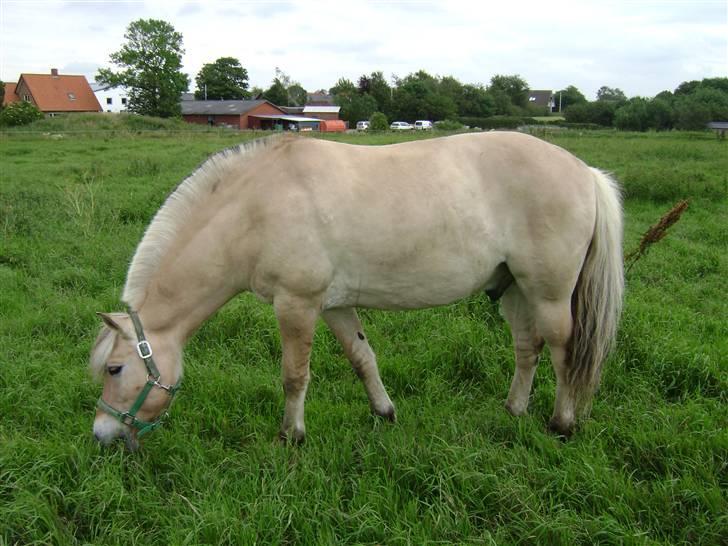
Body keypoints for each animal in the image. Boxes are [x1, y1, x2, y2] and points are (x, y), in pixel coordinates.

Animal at [91, 132, 624, 446]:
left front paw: (292, 436)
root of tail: (585, 172)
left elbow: (294, 376)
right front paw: (384, 412)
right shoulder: (334, 306)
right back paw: (513, 411)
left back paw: (561, 424)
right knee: (527, 348)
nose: (102, 434)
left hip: (548, 293)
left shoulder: (297, 305)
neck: (255, 209)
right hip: (512, 289)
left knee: (563, 353)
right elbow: (362, 358)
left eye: (115, 369)